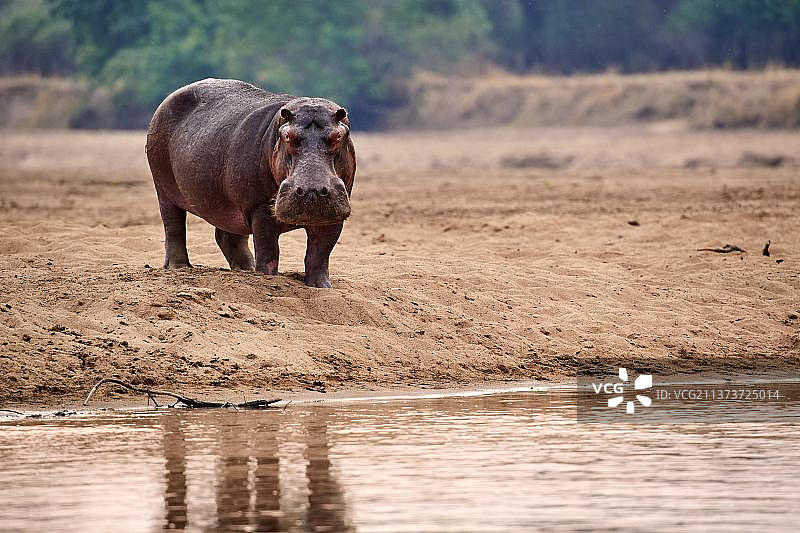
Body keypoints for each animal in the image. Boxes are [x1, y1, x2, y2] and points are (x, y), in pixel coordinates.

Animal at [145, 78, 356, 288]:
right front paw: (267, 278)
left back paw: (246, 269)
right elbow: (268, 250)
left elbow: (319, 255)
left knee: (228, 236)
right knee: (173, 227)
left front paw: (322, 286)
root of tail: (169, 98)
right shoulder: (260, 207)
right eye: (287, 136)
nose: (312, 189)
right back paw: (179, 267)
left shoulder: (333, 216)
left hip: (229, 204)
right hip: (164, 189)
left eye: (338, 136)